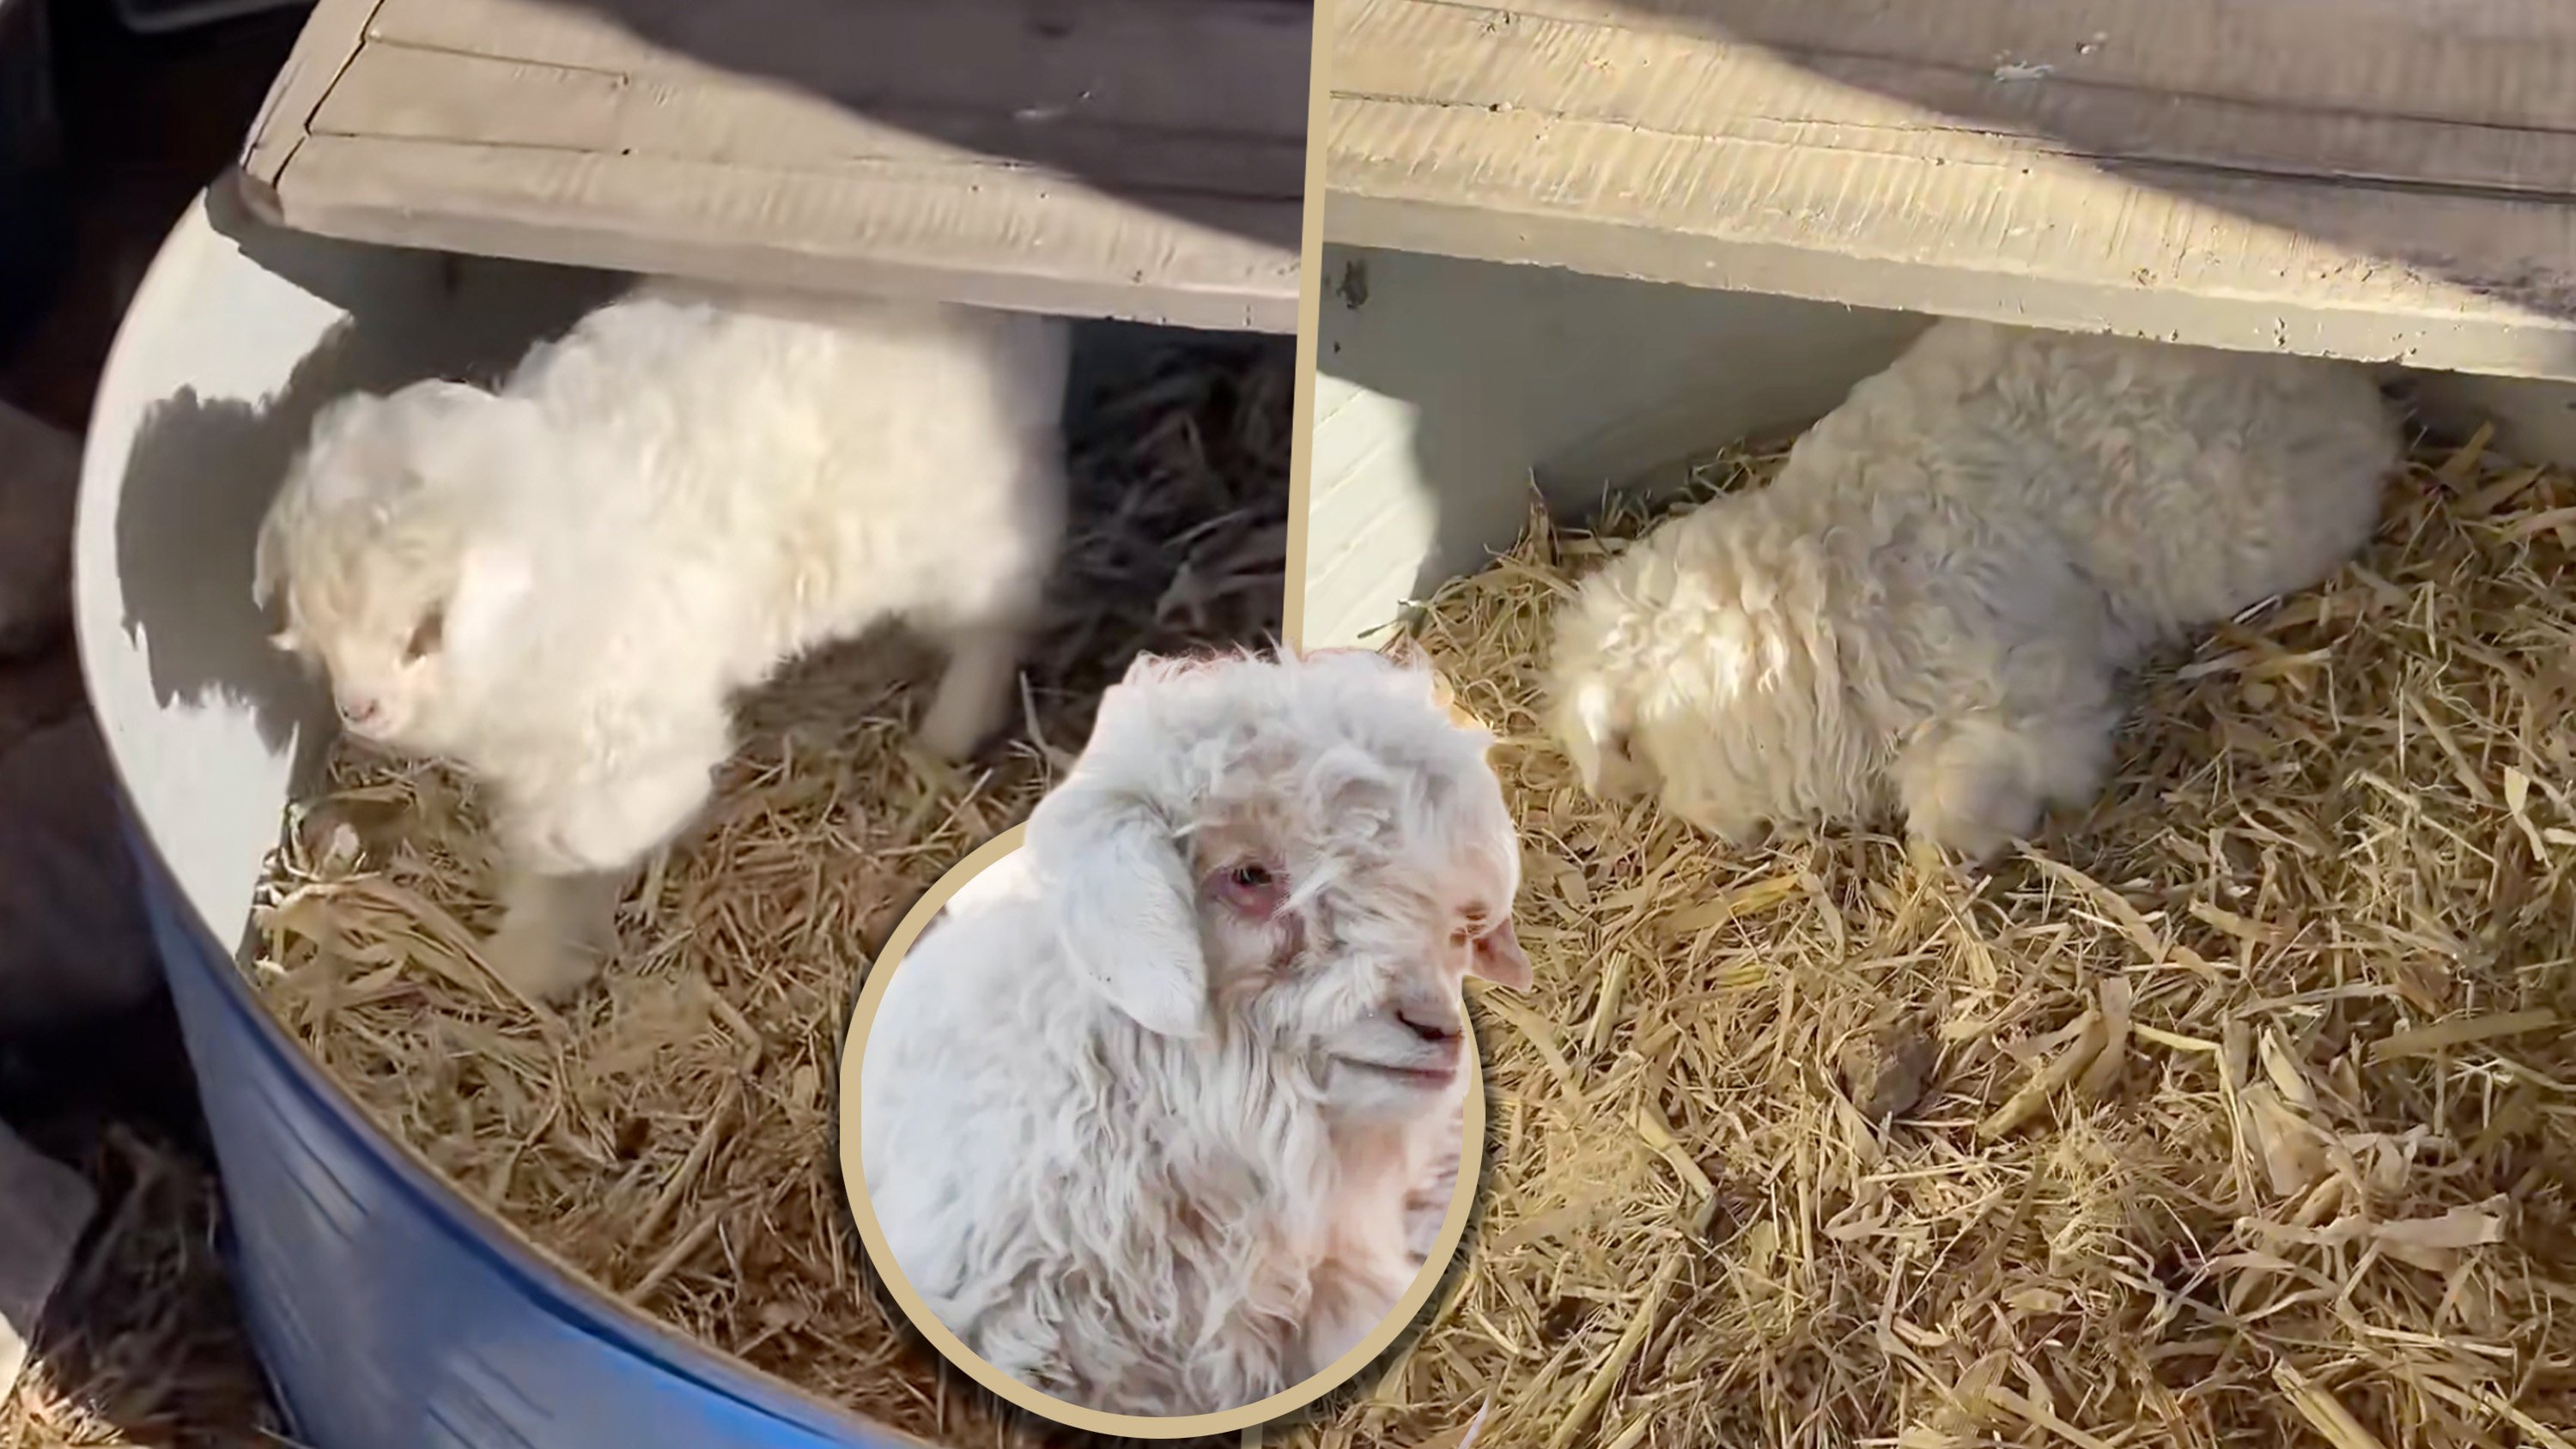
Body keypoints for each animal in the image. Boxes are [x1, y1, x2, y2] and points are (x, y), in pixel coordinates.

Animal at [252, 280, 1072, 1001]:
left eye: (425, 632)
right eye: (314, 627)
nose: (359, 710)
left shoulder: (624, 741)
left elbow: (578, 839)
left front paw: (537, 950)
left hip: (967, 542)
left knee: (999, 619)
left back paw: (950, 731)